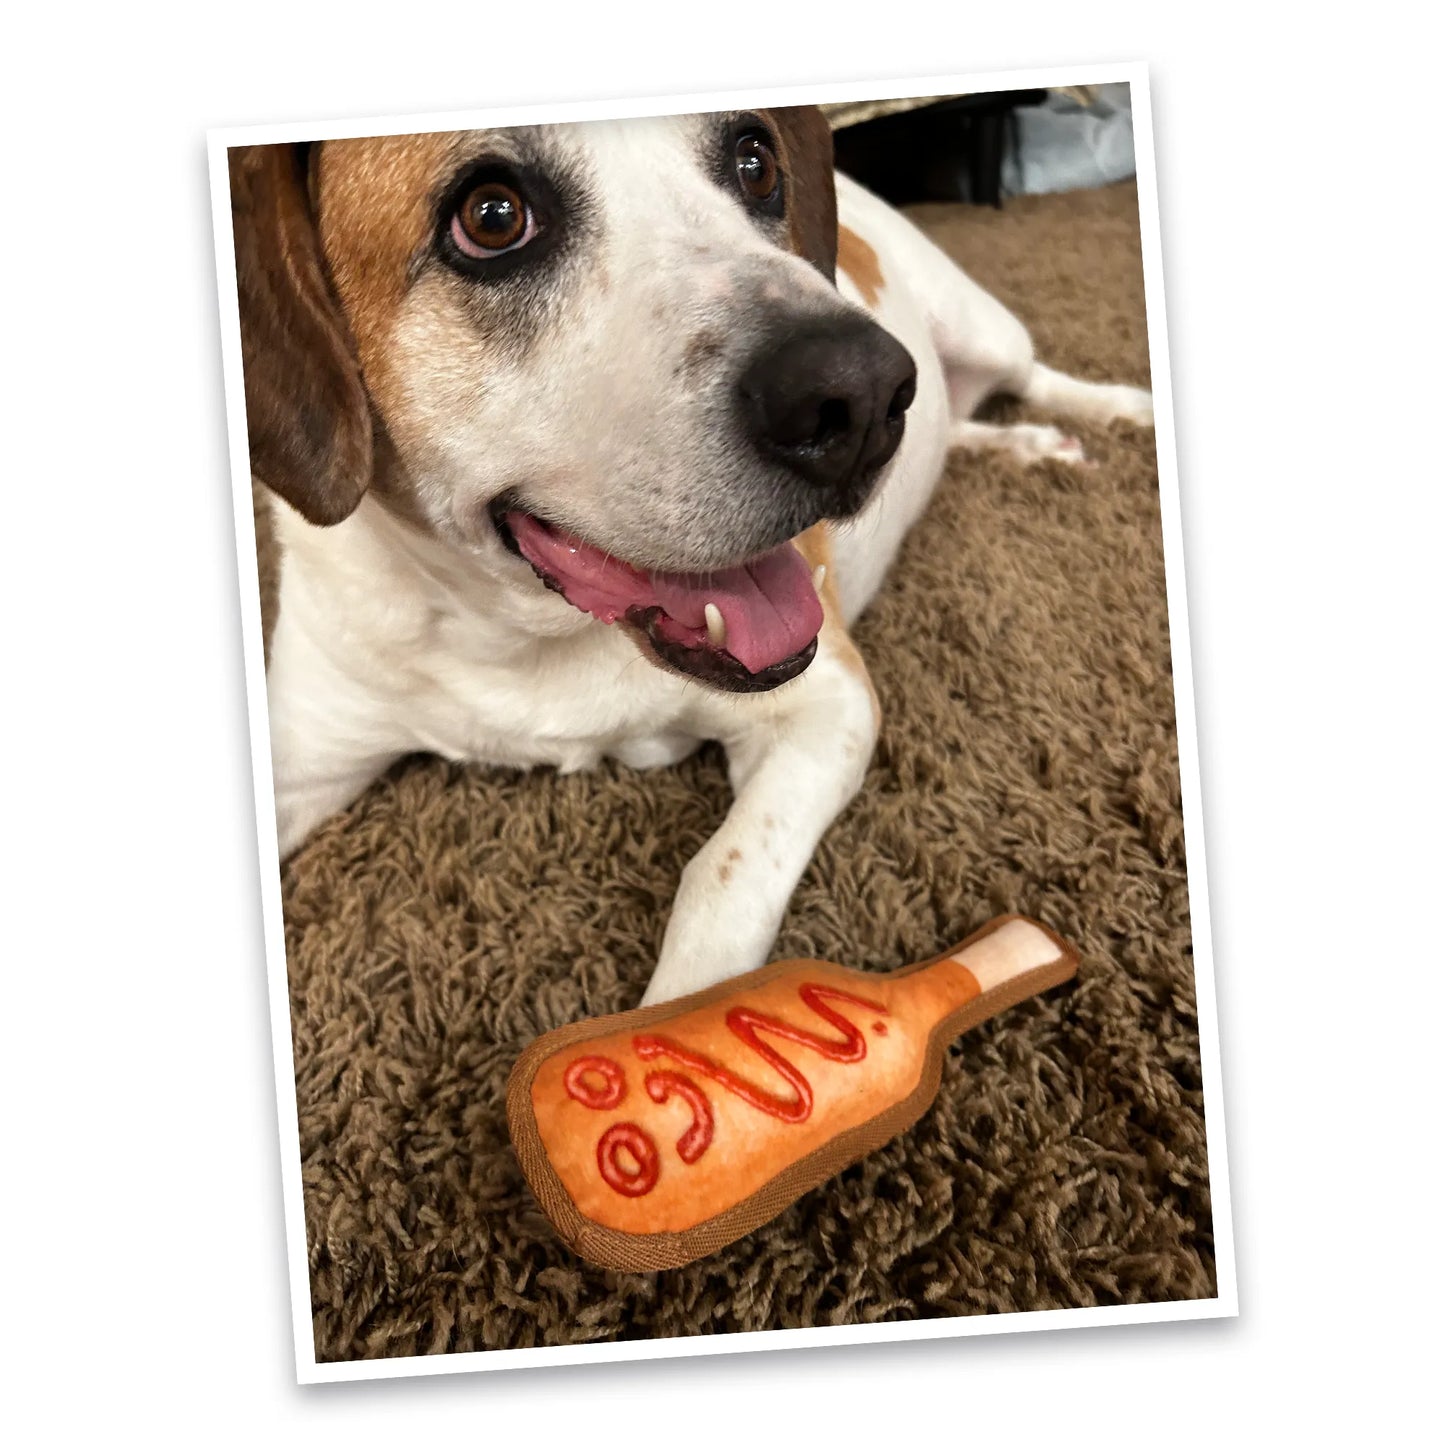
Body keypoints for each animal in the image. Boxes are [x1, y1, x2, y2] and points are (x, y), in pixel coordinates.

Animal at [228, 106, 1150, 1005]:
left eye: (755, 162)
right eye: (491, 217)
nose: (859, 394)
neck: (519, 639)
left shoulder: (827, 705)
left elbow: (718, 884)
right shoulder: (304, 747)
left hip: (976, 326)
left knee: (1029, 375)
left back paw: (1106, 414)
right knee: (957, 422)